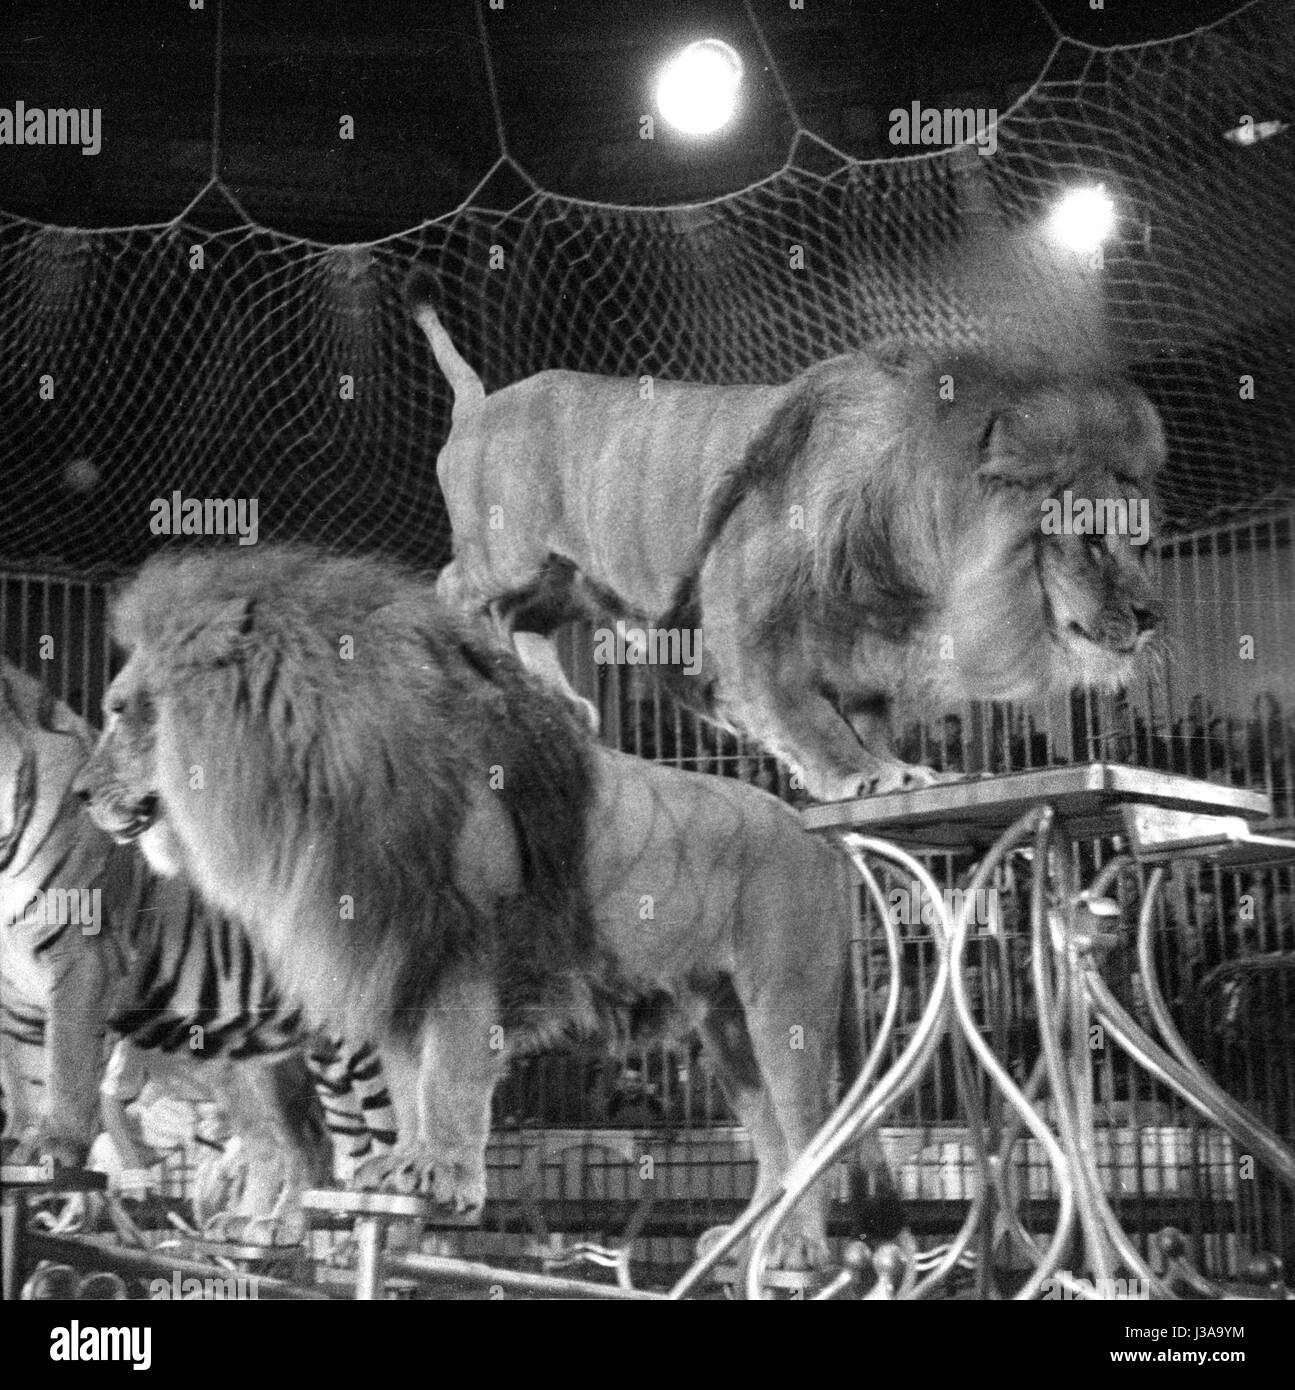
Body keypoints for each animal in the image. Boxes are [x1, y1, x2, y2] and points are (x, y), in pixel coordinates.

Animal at [1, 658, 394, 1195]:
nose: (85, 795)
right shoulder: (12, 994)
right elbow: (24, 1078)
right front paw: (19, 1143)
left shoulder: (83, 960)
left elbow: (67, 1065)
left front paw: (55, 1147)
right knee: (311, 1143)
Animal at [75, 544, 883, 1273]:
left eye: (121, 711)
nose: (81, 793)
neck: (317, 778)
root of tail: (818, 838)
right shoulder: (400, 966)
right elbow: (409, 1090)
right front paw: (404, 1170)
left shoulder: (467, 957)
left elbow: (449, 1078)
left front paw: (442, 1175)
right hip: (725, 1026)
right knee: (774, 1141)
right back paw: (754, 1243)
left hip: (785, 1006)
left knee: (808, 1131)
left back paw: (801, 1246)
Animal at [411, 279, 1161, 806]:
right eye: (1089, 539)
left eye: (1143, 544)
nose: (1151, 615)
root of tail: (478, 404)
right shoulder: (744, 609)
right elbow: (804, 712)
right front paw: (856, 776)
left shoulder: (859, 645)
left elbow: (866, 717)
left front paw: (895, 767)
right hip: (513, 554)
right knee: (453, 587)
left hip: (567, 578)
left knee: (526, 620)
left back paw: (557, 703)